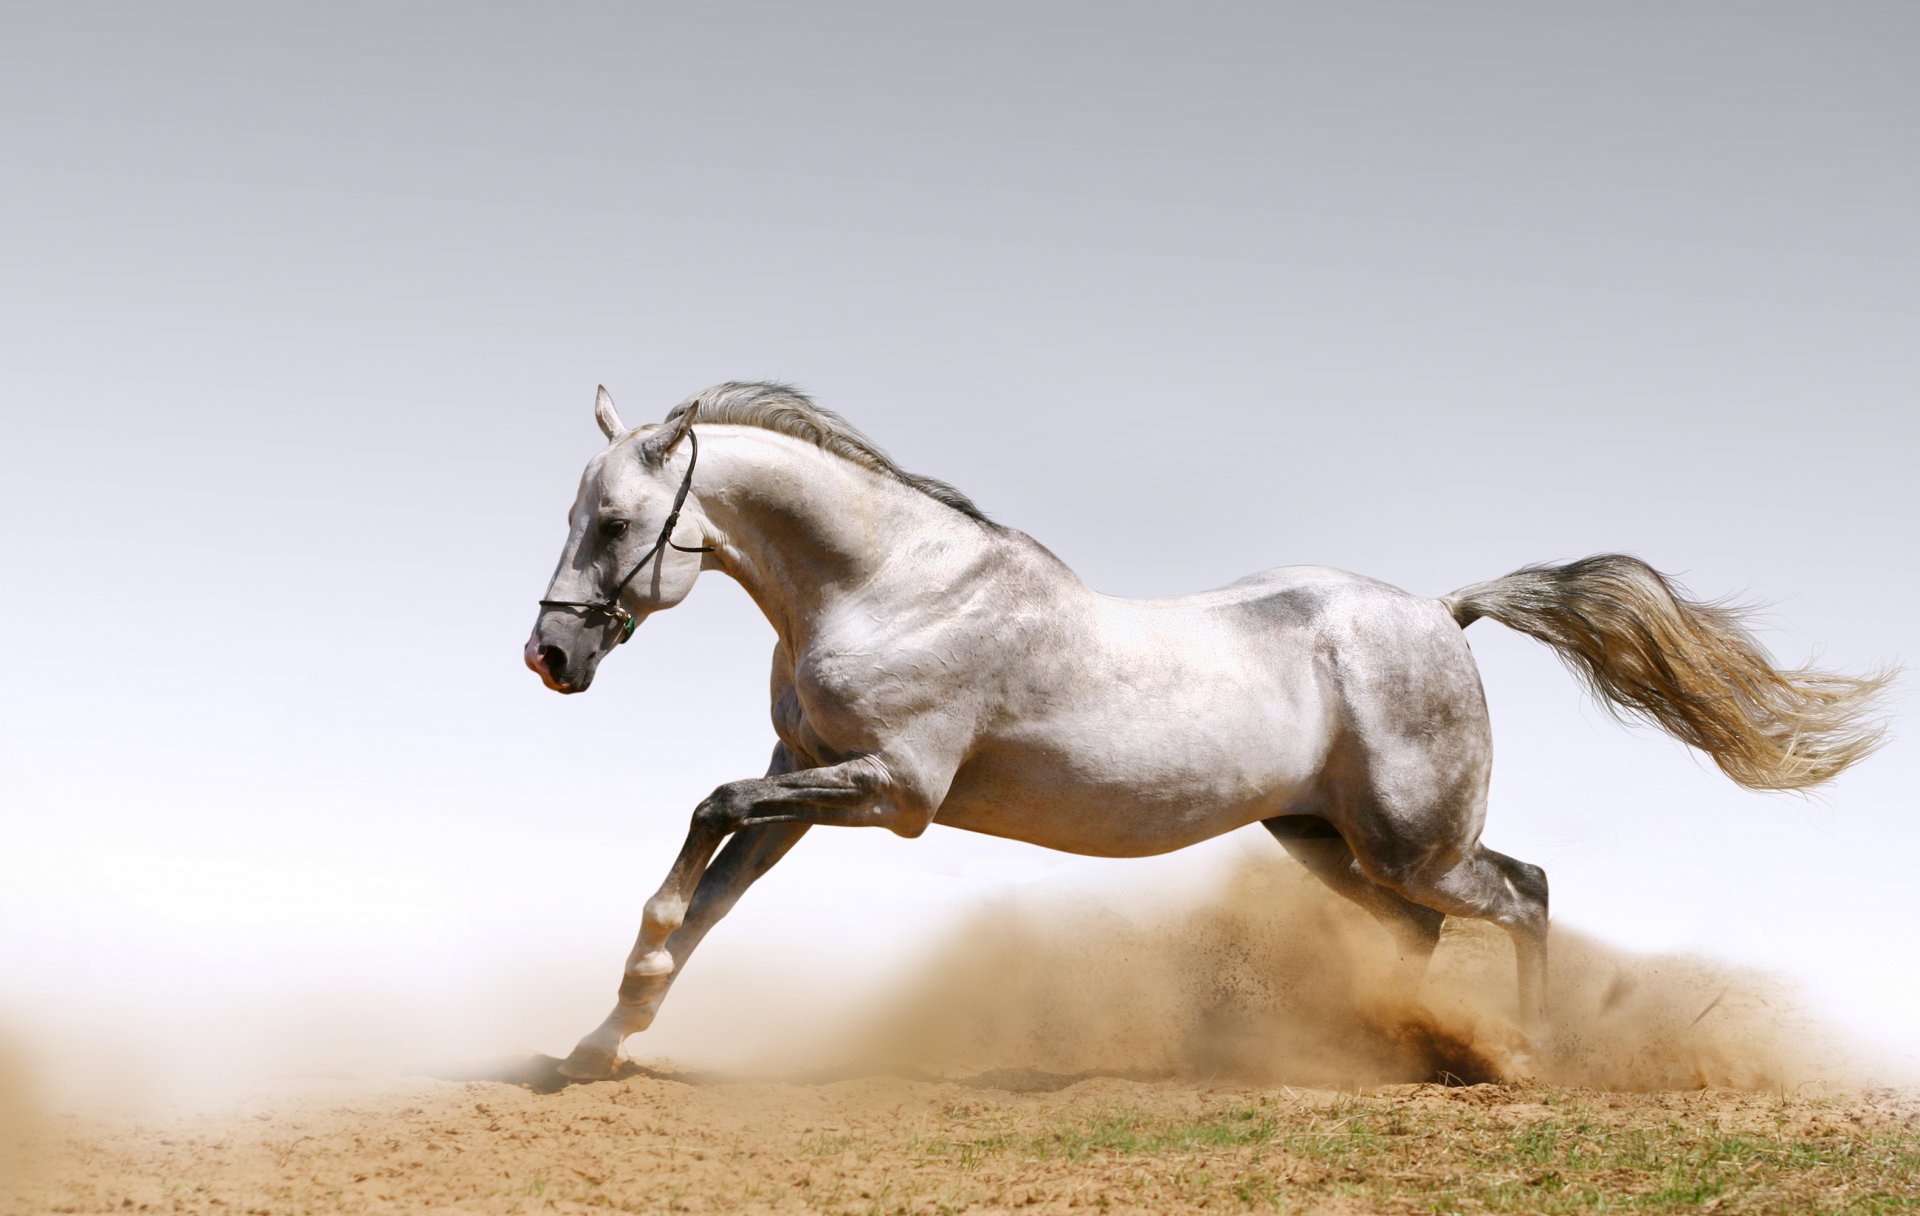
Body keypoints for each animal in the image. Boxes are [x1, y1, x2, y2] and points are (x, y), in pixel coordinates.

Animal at [526, 381, 1890, 1081]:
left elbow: (703, 819)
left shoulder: (890, 790)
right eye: (578, 513)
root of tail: (1444, 612)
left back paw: (1526, 1056)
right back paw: (1394, 1049)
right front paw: (600, 1041)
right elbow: (712, 893)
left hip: (1415, 840)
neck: (888, 584)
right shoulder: (807, 771)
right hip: (1323, 839)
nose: (551, 656)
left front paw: (616, 1007)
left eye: (615, 522)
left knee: (1527, 892)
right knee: (1424, 930)